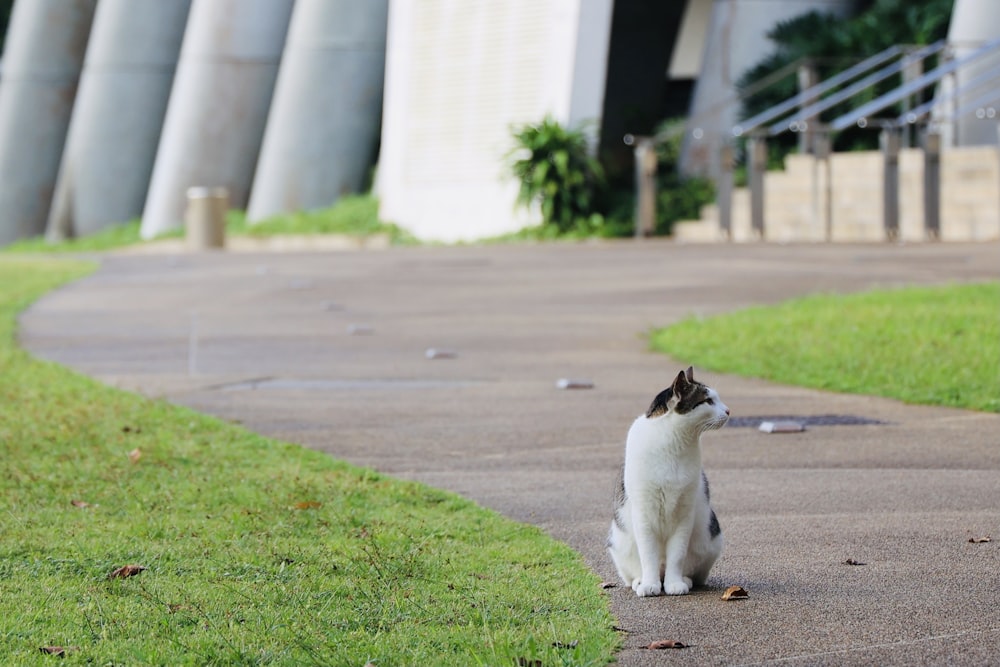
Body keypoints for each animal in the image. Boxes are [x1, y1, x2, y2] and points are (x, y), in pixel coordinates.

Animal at [604, 368, 732, 596]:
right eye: (708, 400)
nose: (728, 411)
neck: (675, 442)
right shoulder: (643, 514)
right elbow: (648, 555)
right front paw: (649, 584)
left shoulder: (684, 514)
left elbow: (676, 556)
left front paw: (674, 584)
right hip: (618, 541)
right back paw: (641, 581)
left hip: (711, 540)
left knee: (692, 571)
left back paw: (684, 580)